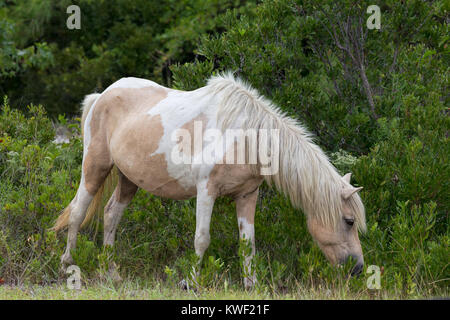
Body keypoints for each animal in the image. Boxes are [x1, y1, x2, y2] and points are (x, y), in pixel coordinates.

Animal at [52, 73, 366, 290]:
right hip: (95, 166)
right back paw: (68, 265)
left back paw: (112, 273)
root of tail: (102, 95)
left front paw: (251, 285)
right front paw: (190, 282)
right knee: (78, 211)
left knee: (110, 215)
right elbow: (201, 239)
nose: (358, 268)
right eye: (349, 221)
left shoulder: (247, 195)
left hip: (129, 179)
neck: (246, 135)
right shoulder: (207, 191)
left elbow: (248, 243)